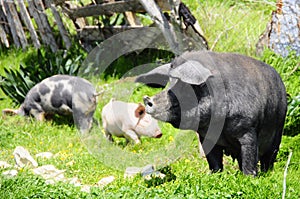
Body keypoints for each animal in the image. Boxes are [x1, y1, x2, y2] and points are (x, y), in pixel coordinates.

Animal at [135, 50, 286, 175]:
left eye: (183, 87)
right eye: (168, 84)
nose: (147, 99)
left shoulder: (248, 129)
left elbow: (249, 155)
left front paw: (249, 177)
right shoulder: (206, 136)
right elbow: (213, 160)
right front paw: (215, 175)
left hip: (278, 131)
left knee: (269, 157)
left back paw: (267, 173)